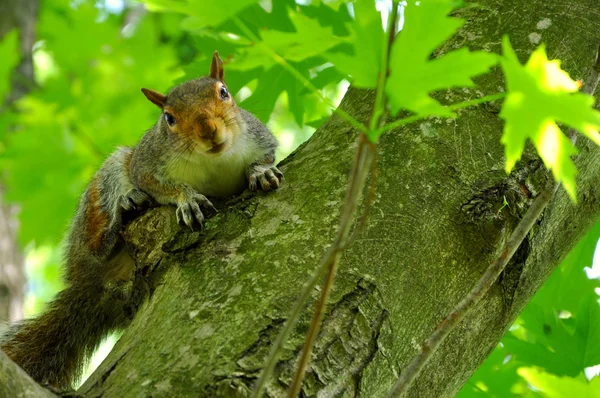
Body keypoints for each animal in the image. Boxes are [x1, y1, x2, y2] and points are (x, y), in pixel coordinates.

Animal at [0, 50, 284, 388]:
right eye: (169, 118)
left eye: (224, 92)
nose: (208, 131)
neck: (212, 159)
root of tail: (93, 284)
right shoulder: (146, 163)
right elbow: (159, 185)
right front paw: (187, 199)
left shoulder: (261, 138)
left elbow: (265, 157)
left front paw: (260, 172)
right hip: (101, 196)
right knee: (100, 240)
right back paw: (124, 214)